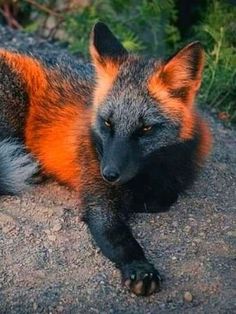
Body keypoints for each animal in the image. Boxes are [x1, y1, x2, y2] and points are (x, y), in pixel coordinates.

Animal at [0, 22, 210, 296]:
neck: (149, 174)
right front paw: (139, 267)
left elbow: (165, 197)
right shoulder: (98, 198)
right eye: (108, 123)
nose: (108, 174)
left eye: (145, 129)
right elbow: (120, 238)